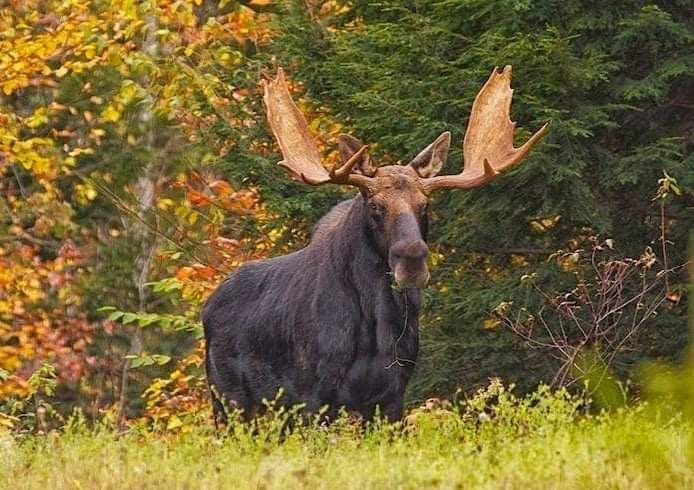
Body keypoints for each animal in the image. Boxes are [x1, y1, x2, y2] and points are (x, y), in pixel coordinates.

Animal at [201, 67, 548, 424]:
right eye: (375, 206)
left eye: (425, 205)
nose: (412, 259)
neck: (375, 325)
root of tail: (208, 307)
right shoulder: (315, 395)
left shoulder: (392, 396)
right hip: (228, 399)